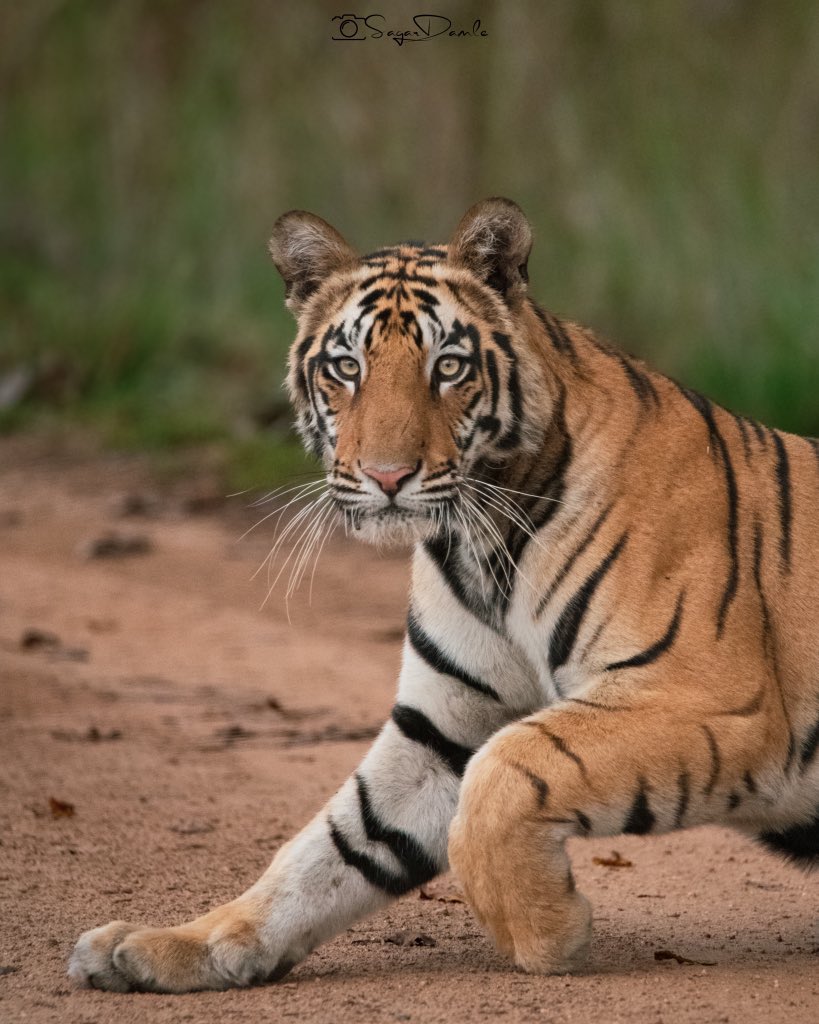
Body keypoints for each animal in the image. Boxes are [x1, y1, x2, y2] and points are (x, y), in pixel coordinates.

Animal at [70, 195, 818, 987]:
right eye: (347, 367)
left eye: (448, 366)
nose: (387, 476)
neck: (479, 546)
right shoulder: (440, 725)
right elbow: (333, 846)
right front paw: (174, 944)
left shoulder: (709, 696)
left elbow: (507, 771)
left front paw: (543, 931)